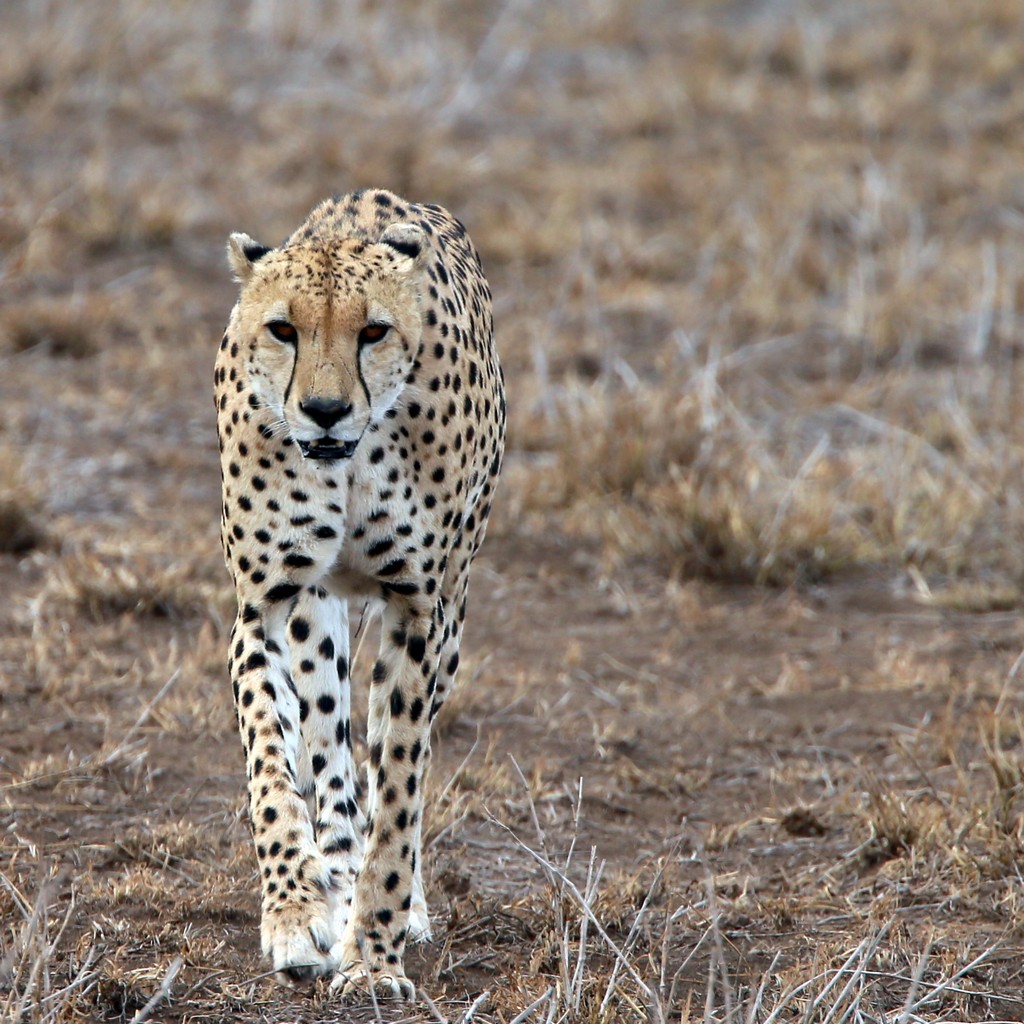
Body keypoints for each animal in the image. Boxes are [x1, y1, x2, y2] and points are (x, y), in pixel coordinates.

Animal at [214, 188, 505, 995]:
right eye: (283, 329)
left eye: (372, 331)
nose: (324, 410)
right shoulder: (266, 607)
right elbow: (273, 769)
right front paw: (295, 912)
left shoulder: (419, 612)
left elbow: (399, 788)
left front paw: (375, 955)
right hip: (318, 621)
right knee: (331, 757)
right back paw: (332, 883)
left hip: (452, 619)